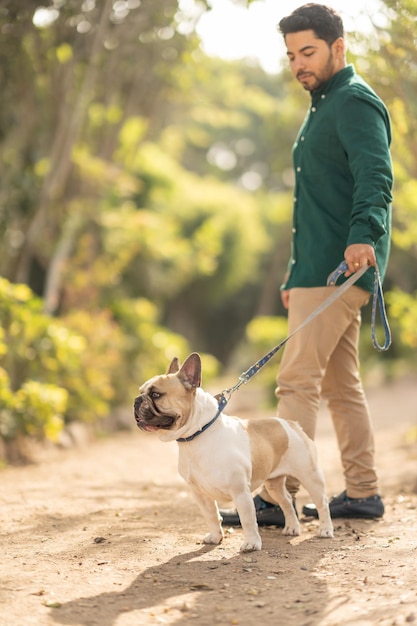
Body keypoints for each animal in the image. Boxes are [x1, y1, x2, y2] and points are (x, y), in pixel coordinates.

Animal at [133, 352, 332, 552]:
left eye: (156, 394)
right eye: (141, 391)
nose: (136, 400)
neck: (197, 435)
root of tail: (292, 424)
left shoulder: (240, 493)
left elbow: (248, 520)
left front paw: (252, 543)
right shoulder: (200, 494)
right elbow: (211, 516)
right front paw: (215, 537)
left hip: (309, 475)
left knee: (322, 503)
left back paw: (325, 530)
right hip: (273, 484)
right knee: (286, 501)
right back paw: (292, 527)